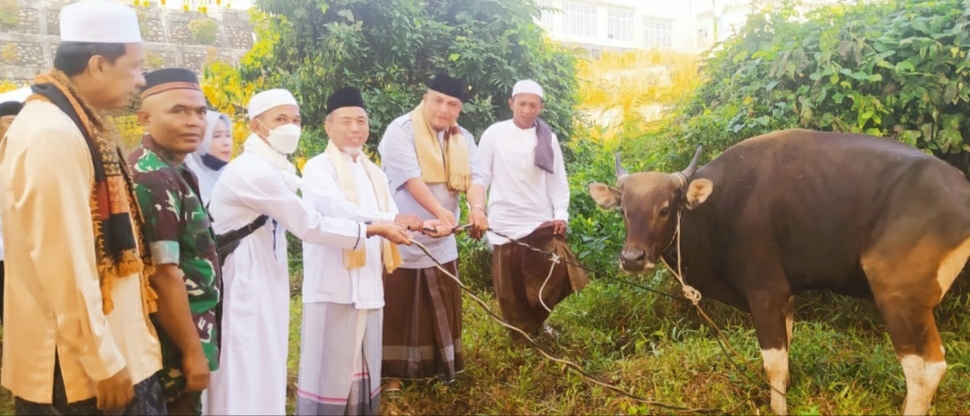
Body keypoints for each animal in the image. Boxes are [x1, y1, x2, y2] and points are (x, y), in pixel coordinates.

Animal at [588, 128, 968, 414]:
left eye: (665, 208)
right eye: (624, 209)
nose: (633, 258)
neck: (716, 212)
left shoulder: (765, 294)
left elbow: (773, 363)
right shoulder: (785, 297)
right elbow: (784, 361)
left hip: (899, 296)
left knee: (925, 368)